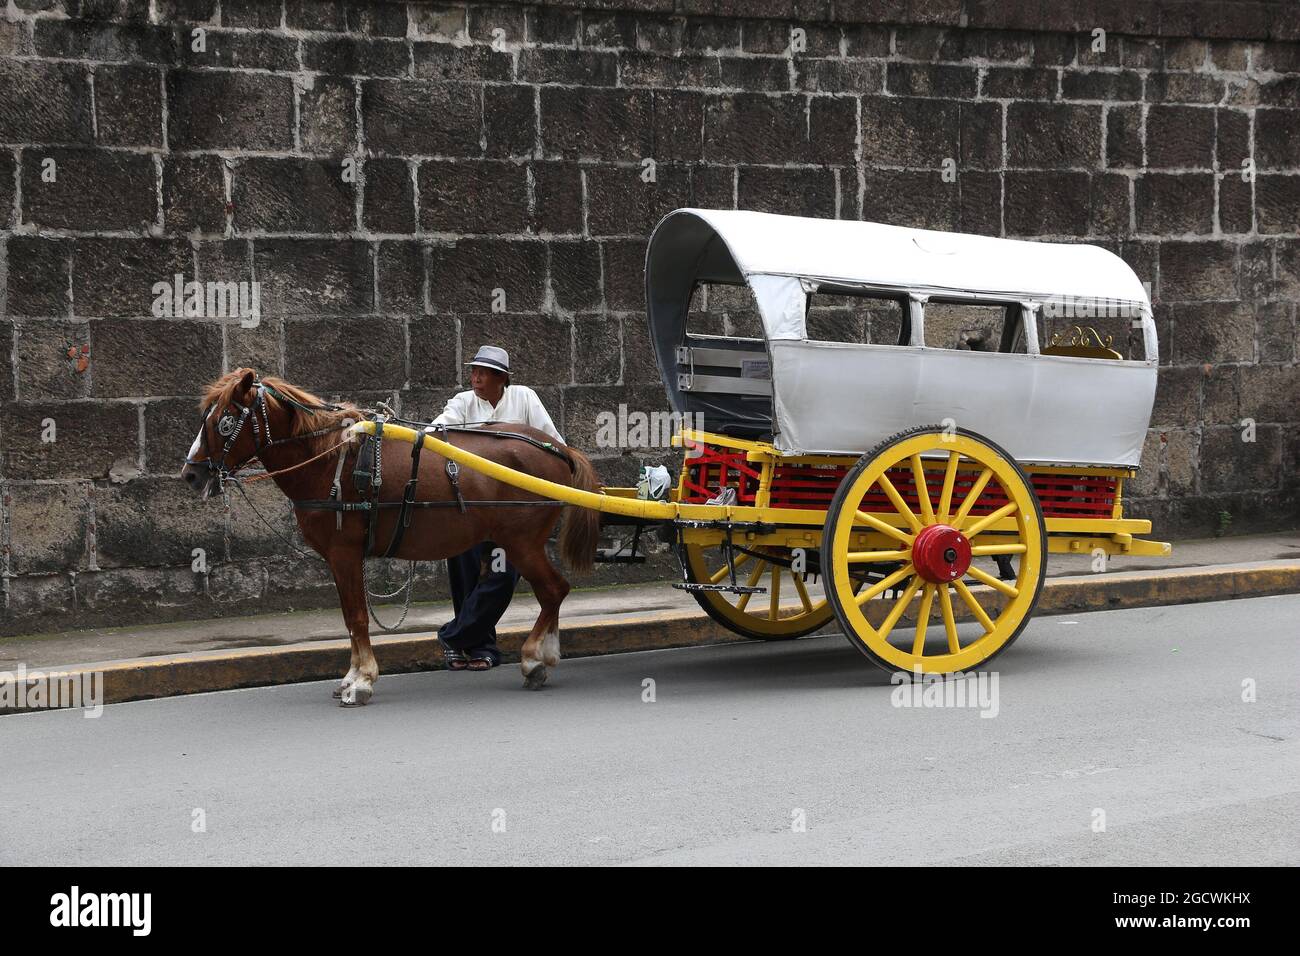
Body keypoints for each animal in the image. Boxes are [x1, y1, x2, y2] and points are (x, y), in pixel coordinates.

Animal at [179, 369, 603, 707]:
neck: (330, 460)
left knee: (553, 590)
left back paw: (535, 659)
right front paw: (352, 676)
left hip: (521, 542)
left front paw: (361, 681)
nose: (192, 475)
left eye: (225, 422)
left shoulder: (344, 553)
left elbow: (356, 617)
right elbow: (351, 618)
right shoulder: (339, 559)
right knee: (551, 592)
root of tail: (558, 448)